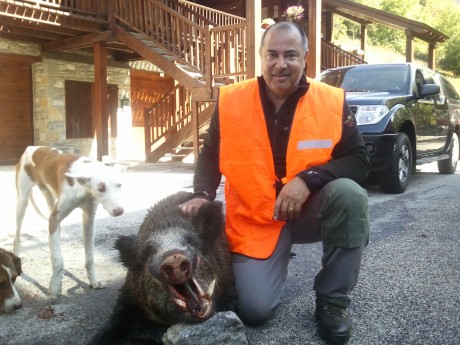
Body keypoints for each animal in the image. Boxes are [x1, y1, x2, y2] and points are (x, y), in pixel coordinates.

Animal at [14, 145, 126, 298]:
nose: (119, 211)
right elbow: (58, 259)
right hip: (22, 202)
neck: (83, 188)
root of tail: (32, 147)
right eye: (100, 188)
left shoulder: (89, 219)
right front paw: (55, 285)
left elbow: (89, 257)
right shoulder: (55, 218)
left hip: (48, 197)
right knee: (17, 236)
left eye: (119, 185)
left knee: (50, 237)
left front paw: (93, 280)